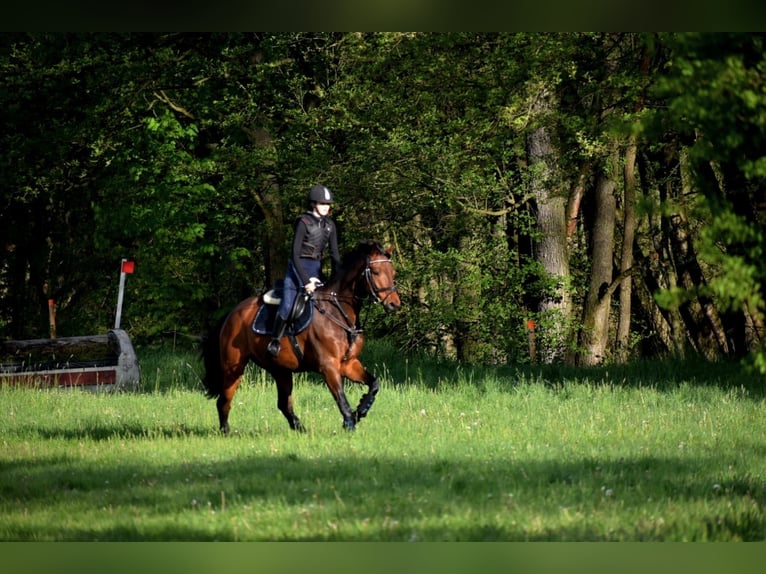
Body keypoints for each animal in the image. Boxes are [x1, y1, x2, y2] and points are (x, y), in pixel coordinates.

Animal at [200, 241, 402, 434]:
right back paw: (226, 431)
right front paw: (349, 424)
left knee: (283, 404)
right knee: (224, 400)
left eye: (393, 272)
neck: (338, 312)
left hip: (280, 370)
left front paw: (361, 410)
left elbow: (374, 383)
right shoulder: (328, 366)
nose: (394, 305)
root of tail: (232, 313)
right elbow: (341, 398)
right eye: (375, 272)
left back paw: (300, 429)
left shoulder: (349, 364)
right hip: (233, 367)